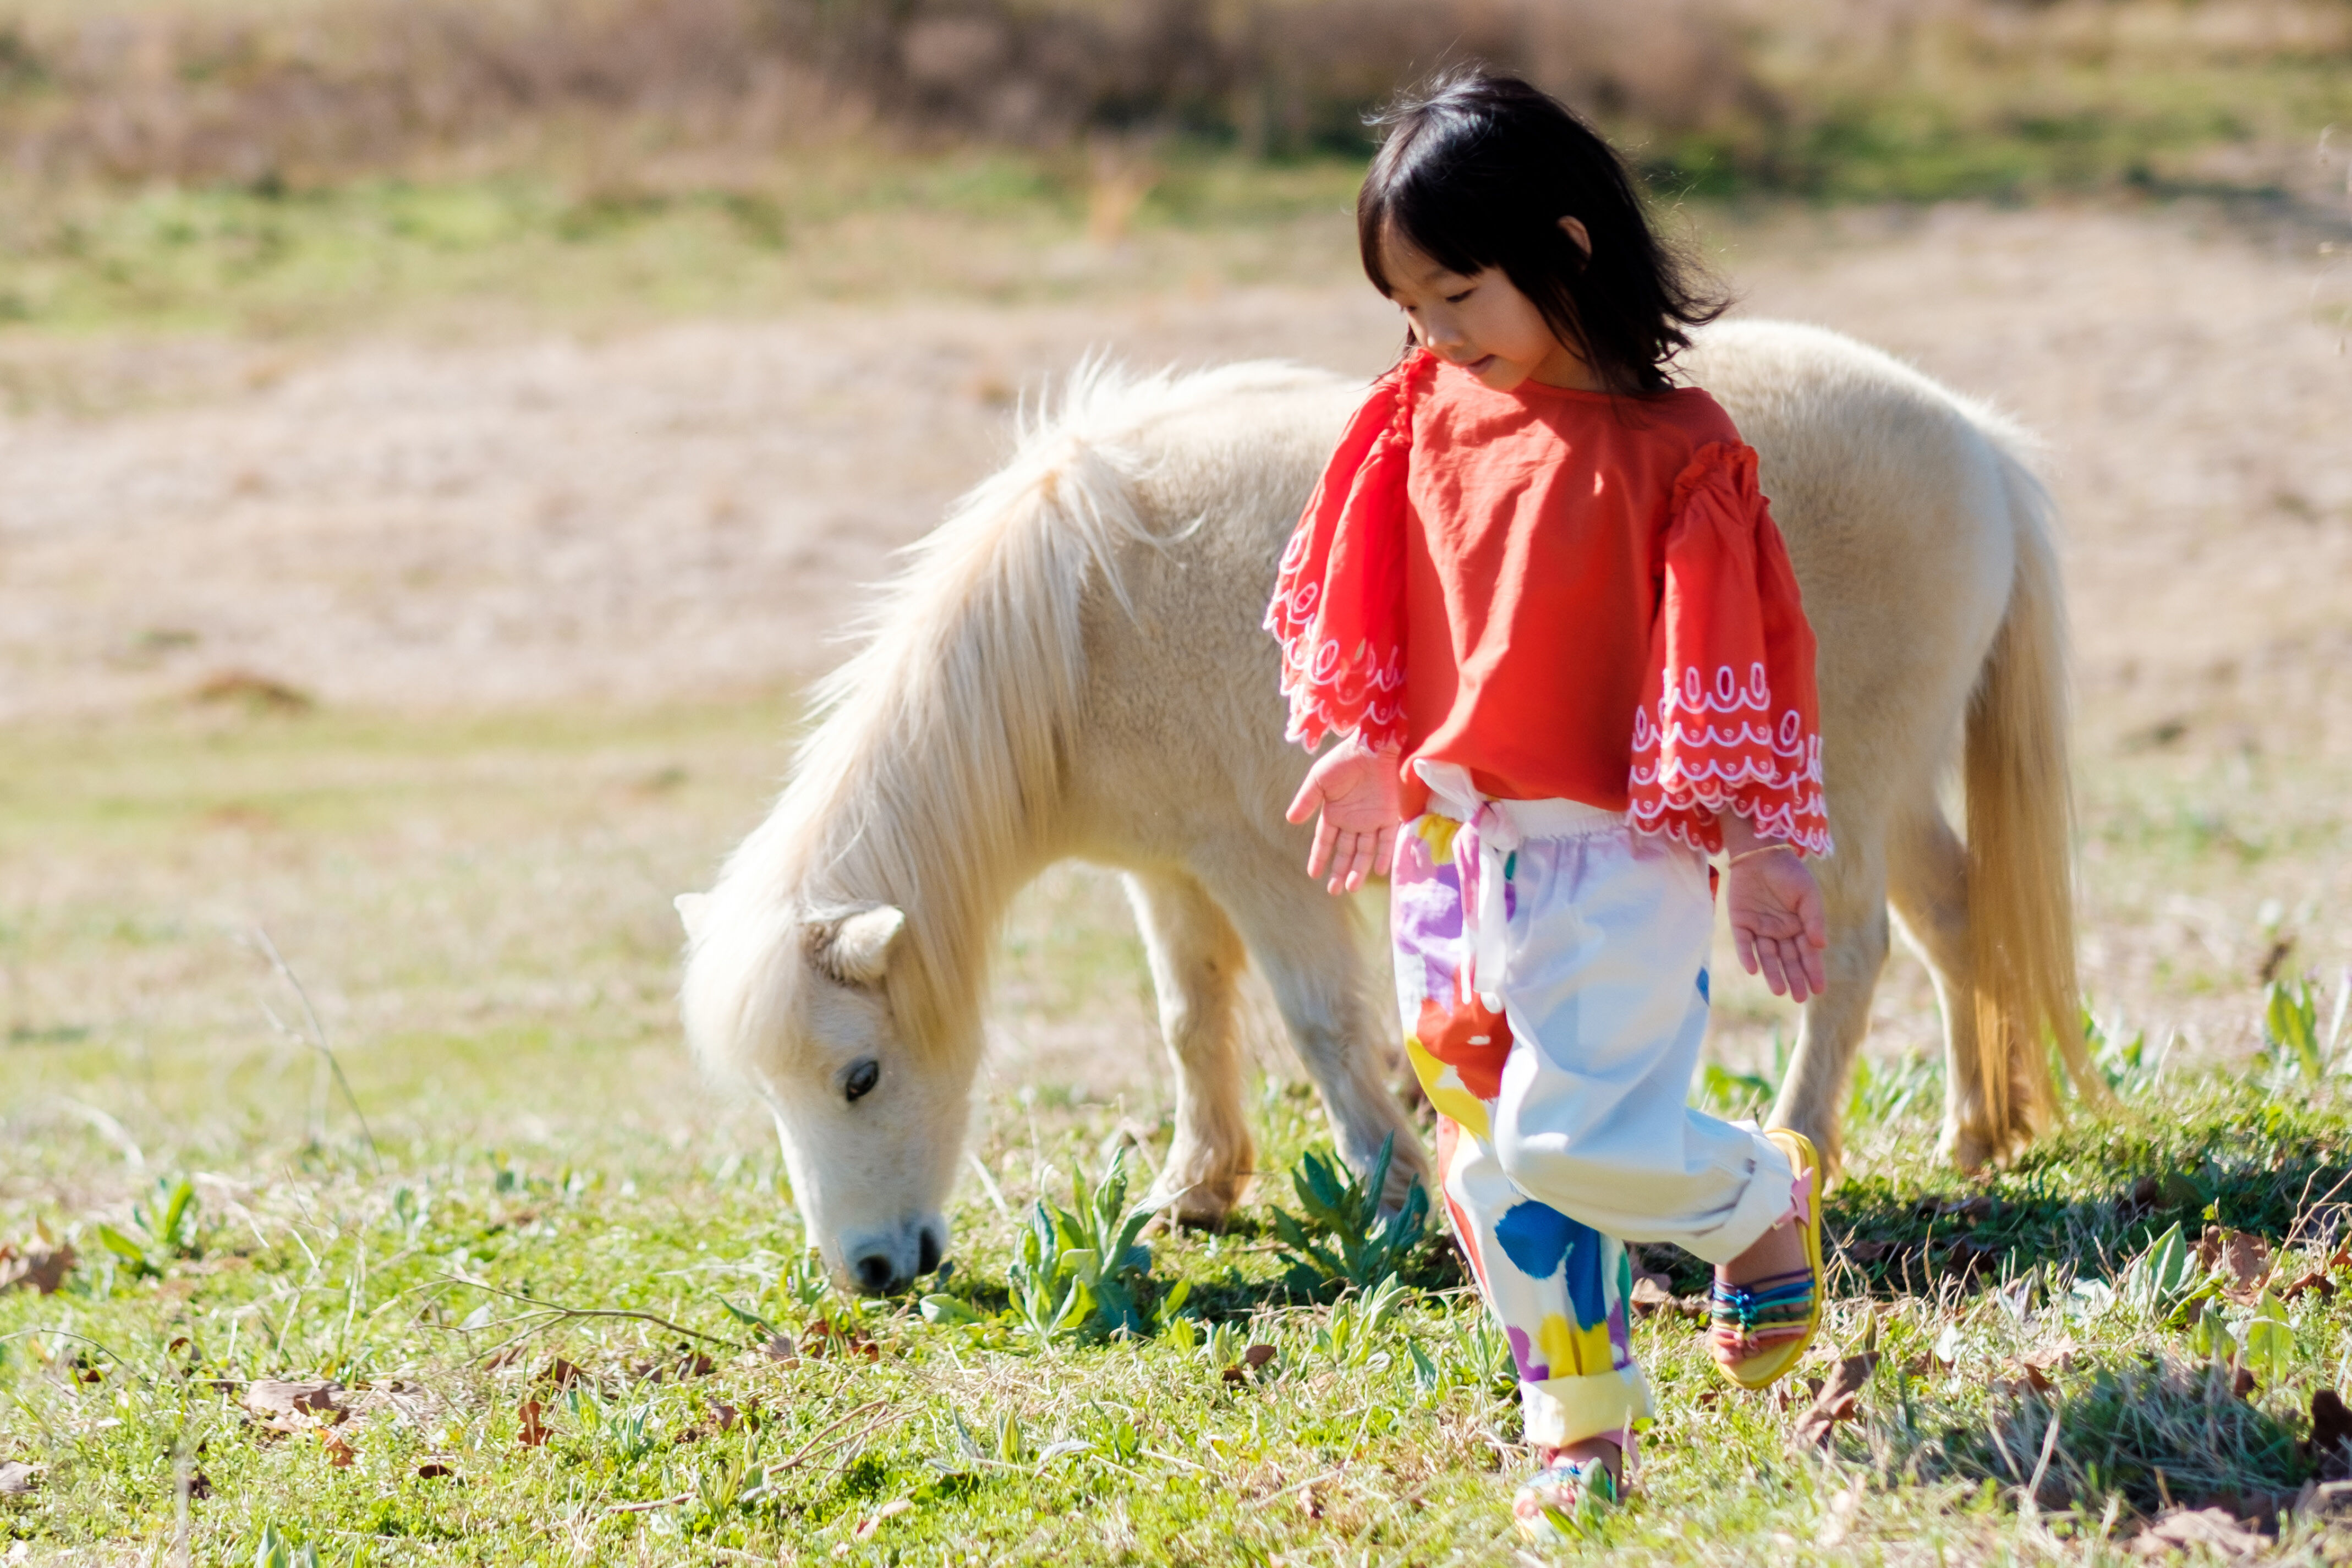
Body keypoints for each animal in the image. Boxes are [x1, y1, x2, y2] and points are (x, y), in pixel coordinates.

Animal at [677, 319, 2100, 1295]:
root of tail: (1976, 443)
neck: (1079, 625)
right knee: (1955, 919)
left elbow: (1315, 1021)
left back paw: (1803, 1145)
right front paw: (1195, 1189)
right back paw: (1977, 1133)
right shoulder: (1170, 871)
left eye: (860, 1073)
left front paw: (1389, 1200)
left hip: (1829, 794)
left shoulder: (1261, 864)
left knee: (1850, 956)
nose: (868, 1272)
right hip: (1884, 787)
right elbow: (1191, 1018)